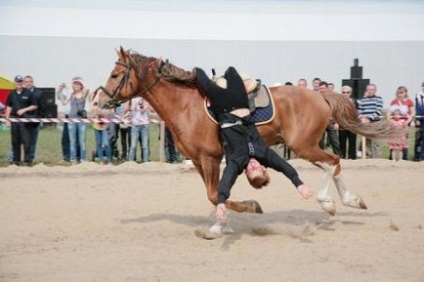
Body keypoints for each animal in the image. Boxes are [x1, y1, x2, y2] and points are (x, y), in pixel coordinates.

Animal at [96, 47, 400, 237]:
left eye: (114, 75)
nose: (98, 102)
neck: (184, 104)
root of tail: (320, 95)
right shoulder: (198, 160)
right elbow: (214, 195)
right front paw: (219, 225)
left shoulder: (210, 158)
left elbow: (214, 194)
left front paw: (245, 211)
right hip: (305, 145)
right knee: (333, 164)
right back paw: (351, 201)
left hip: (302, 145)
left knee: (333, 162)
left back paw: (332, 202)